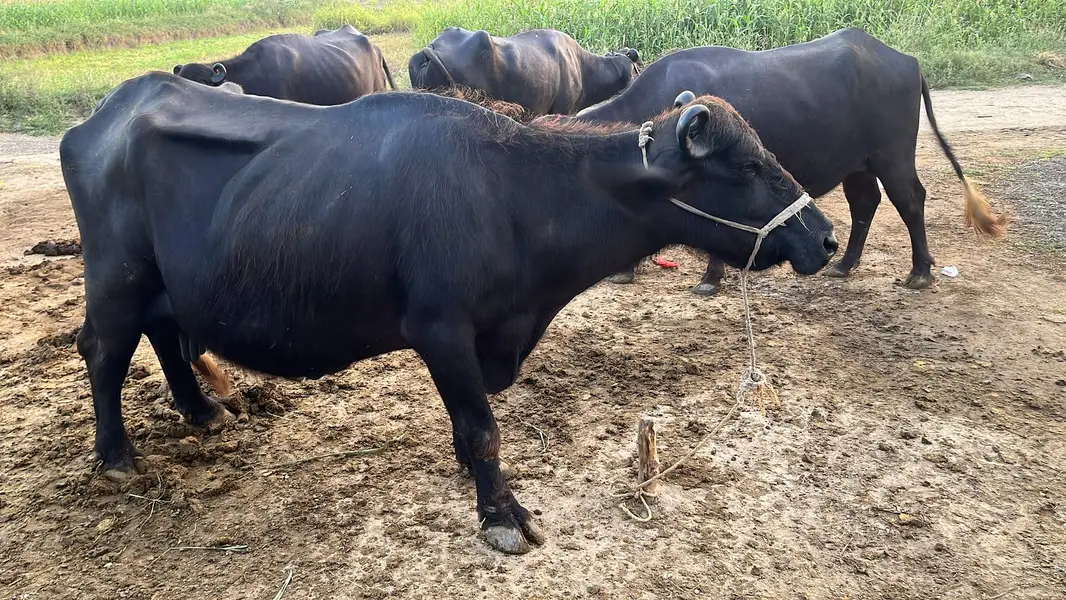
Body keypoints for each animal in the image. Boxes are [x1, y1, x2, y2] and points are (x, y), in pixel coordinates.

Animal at [61, 72, 835, 554]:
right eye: (749, 167)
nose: (823, 238)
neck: (514, 193)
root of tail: (106, 115)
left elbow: (470, 428)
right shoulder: (441, 330)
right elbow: (484, 428)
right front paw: (502, 514)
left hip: (163, 283)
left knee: (165, 334)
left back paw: (203, 411)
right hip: (116, 280)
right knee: (103, 352)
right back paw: (117, 457)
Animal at [574, 28, 1005, 295]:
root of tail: (907, 62)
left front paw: (708, 279)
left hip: (893, 155)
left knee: (910, 199)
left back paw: (920, 272)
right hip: (857, 163)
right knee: (865, 202)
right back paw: (844, 264)